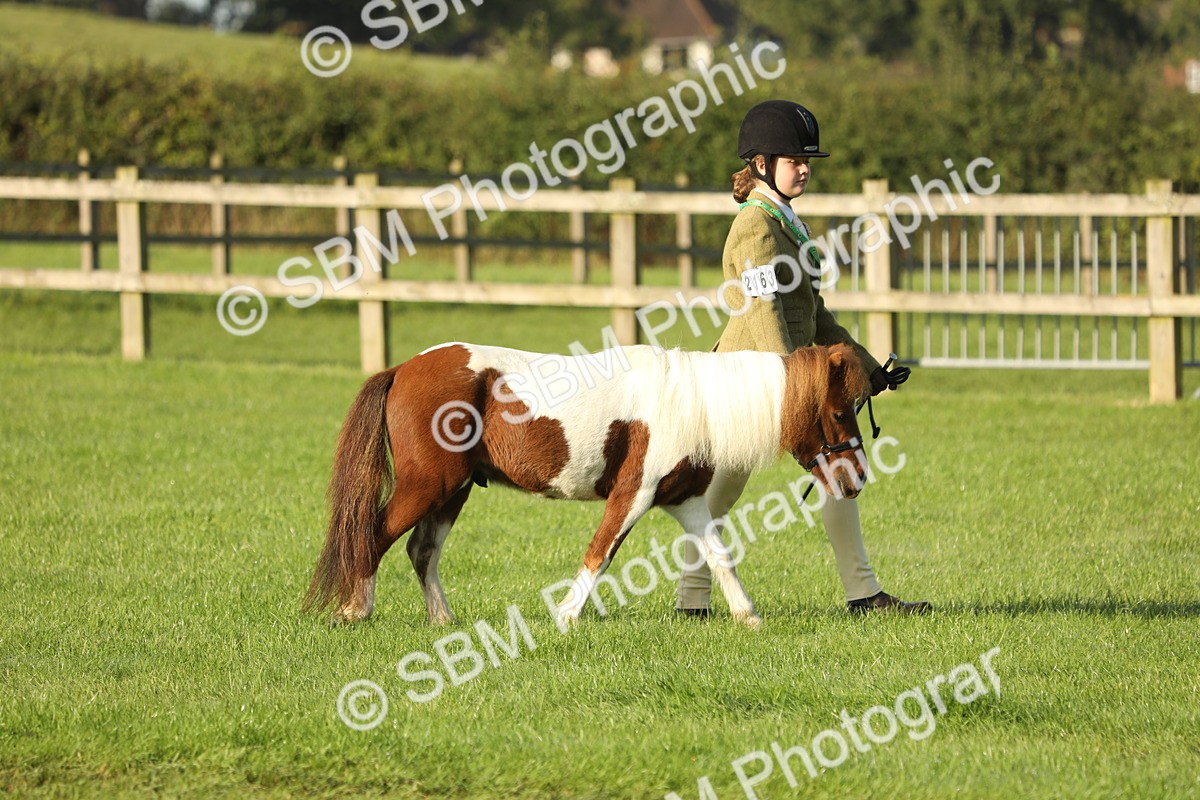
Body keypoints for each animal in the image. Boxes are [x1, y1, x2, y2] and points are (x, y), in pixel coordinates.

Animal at [303, 341, 870, 628]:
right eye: (840, 412)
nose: (858, 478)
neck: (693, 400)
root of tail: (402, 368)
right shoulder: (632, 495)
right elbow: (601, 553)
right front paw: (566, 618)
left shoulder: (685, 501)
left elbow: (718, 555)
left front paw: (747, 617)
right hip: (427, 486)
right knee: (372, 536)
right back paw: (355, 610)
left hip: (454, 490)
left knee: (422, 551)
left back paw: (442, 620)